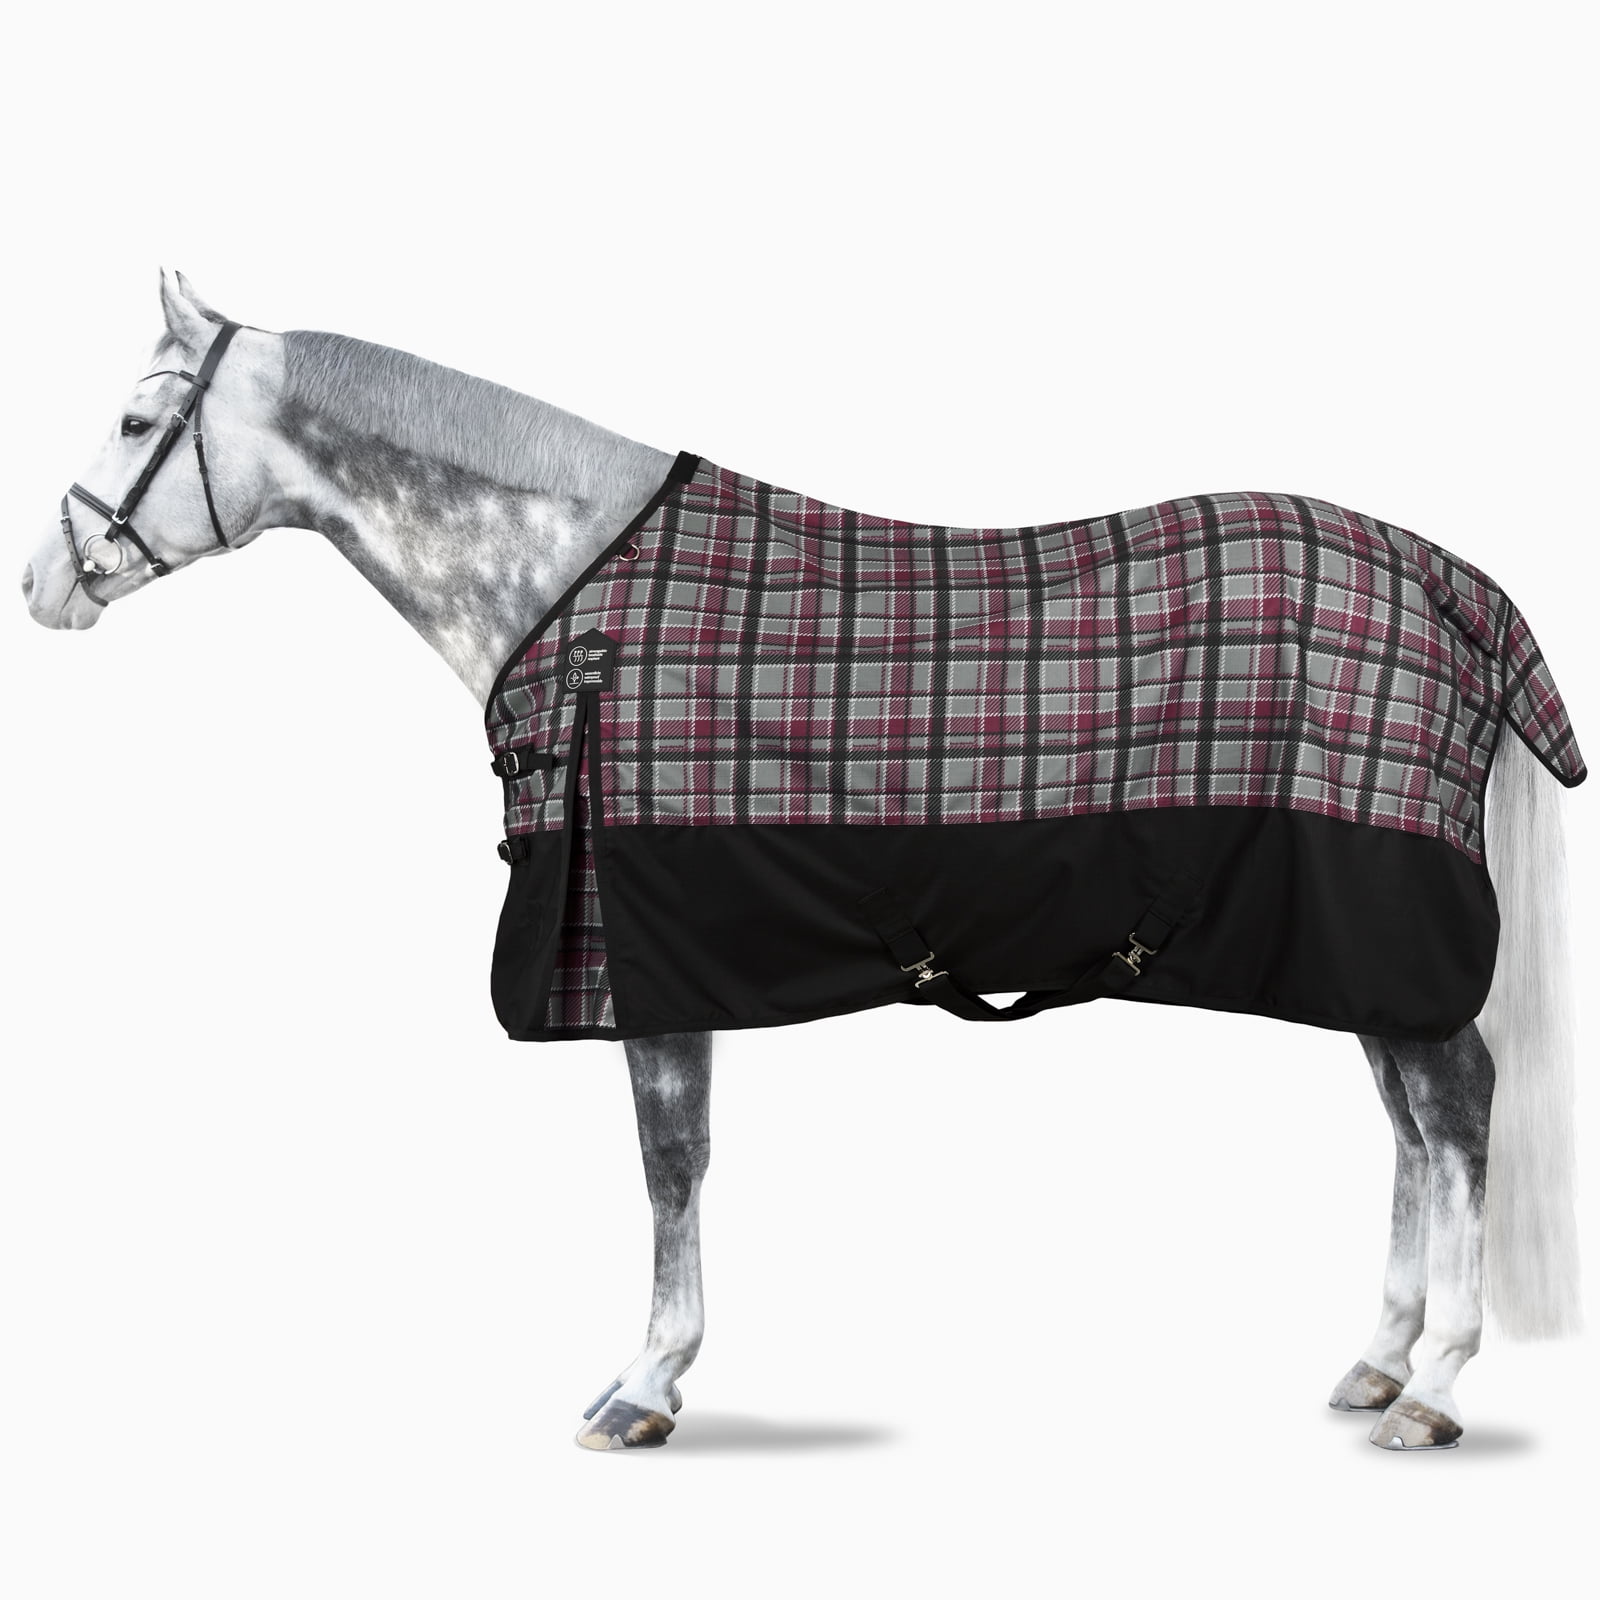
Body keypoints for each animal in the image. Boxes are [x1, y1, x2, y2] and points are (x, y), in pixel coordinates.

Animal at [22, 270, 1583, 1452]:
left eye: (137, 415)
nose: (42, 584)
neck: (581, 599)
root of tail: (1451, 582)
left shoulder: (641, 961)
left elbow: (669, 1162)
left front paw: (644, 1385)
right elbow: (682, 1163)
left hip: (1384, 928)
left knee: (1454, 1111)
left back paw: (1437, 1385)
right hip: (1355, 950)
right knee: (1409, 1124)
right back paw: (1378, 1362)